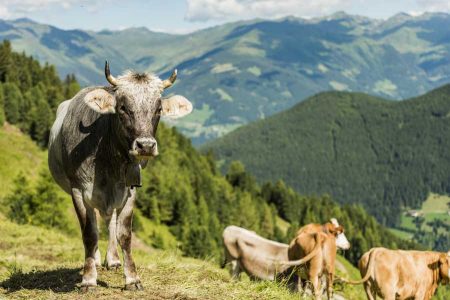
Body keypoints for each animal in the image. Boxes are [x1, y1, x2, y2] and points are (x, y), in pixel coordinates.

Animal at [48, 62, 192, 292]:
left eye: (159, 109)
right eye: (122, 107)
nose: (145, 145)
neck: (108, 162)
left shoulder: (130, 189)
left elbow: (124, 234)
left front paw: (132, 279)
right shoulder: (78, 190)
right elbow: (89, 234)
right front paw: (88, 279)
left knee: (110, 221)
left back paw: (113, 260)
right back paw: (97, 260)